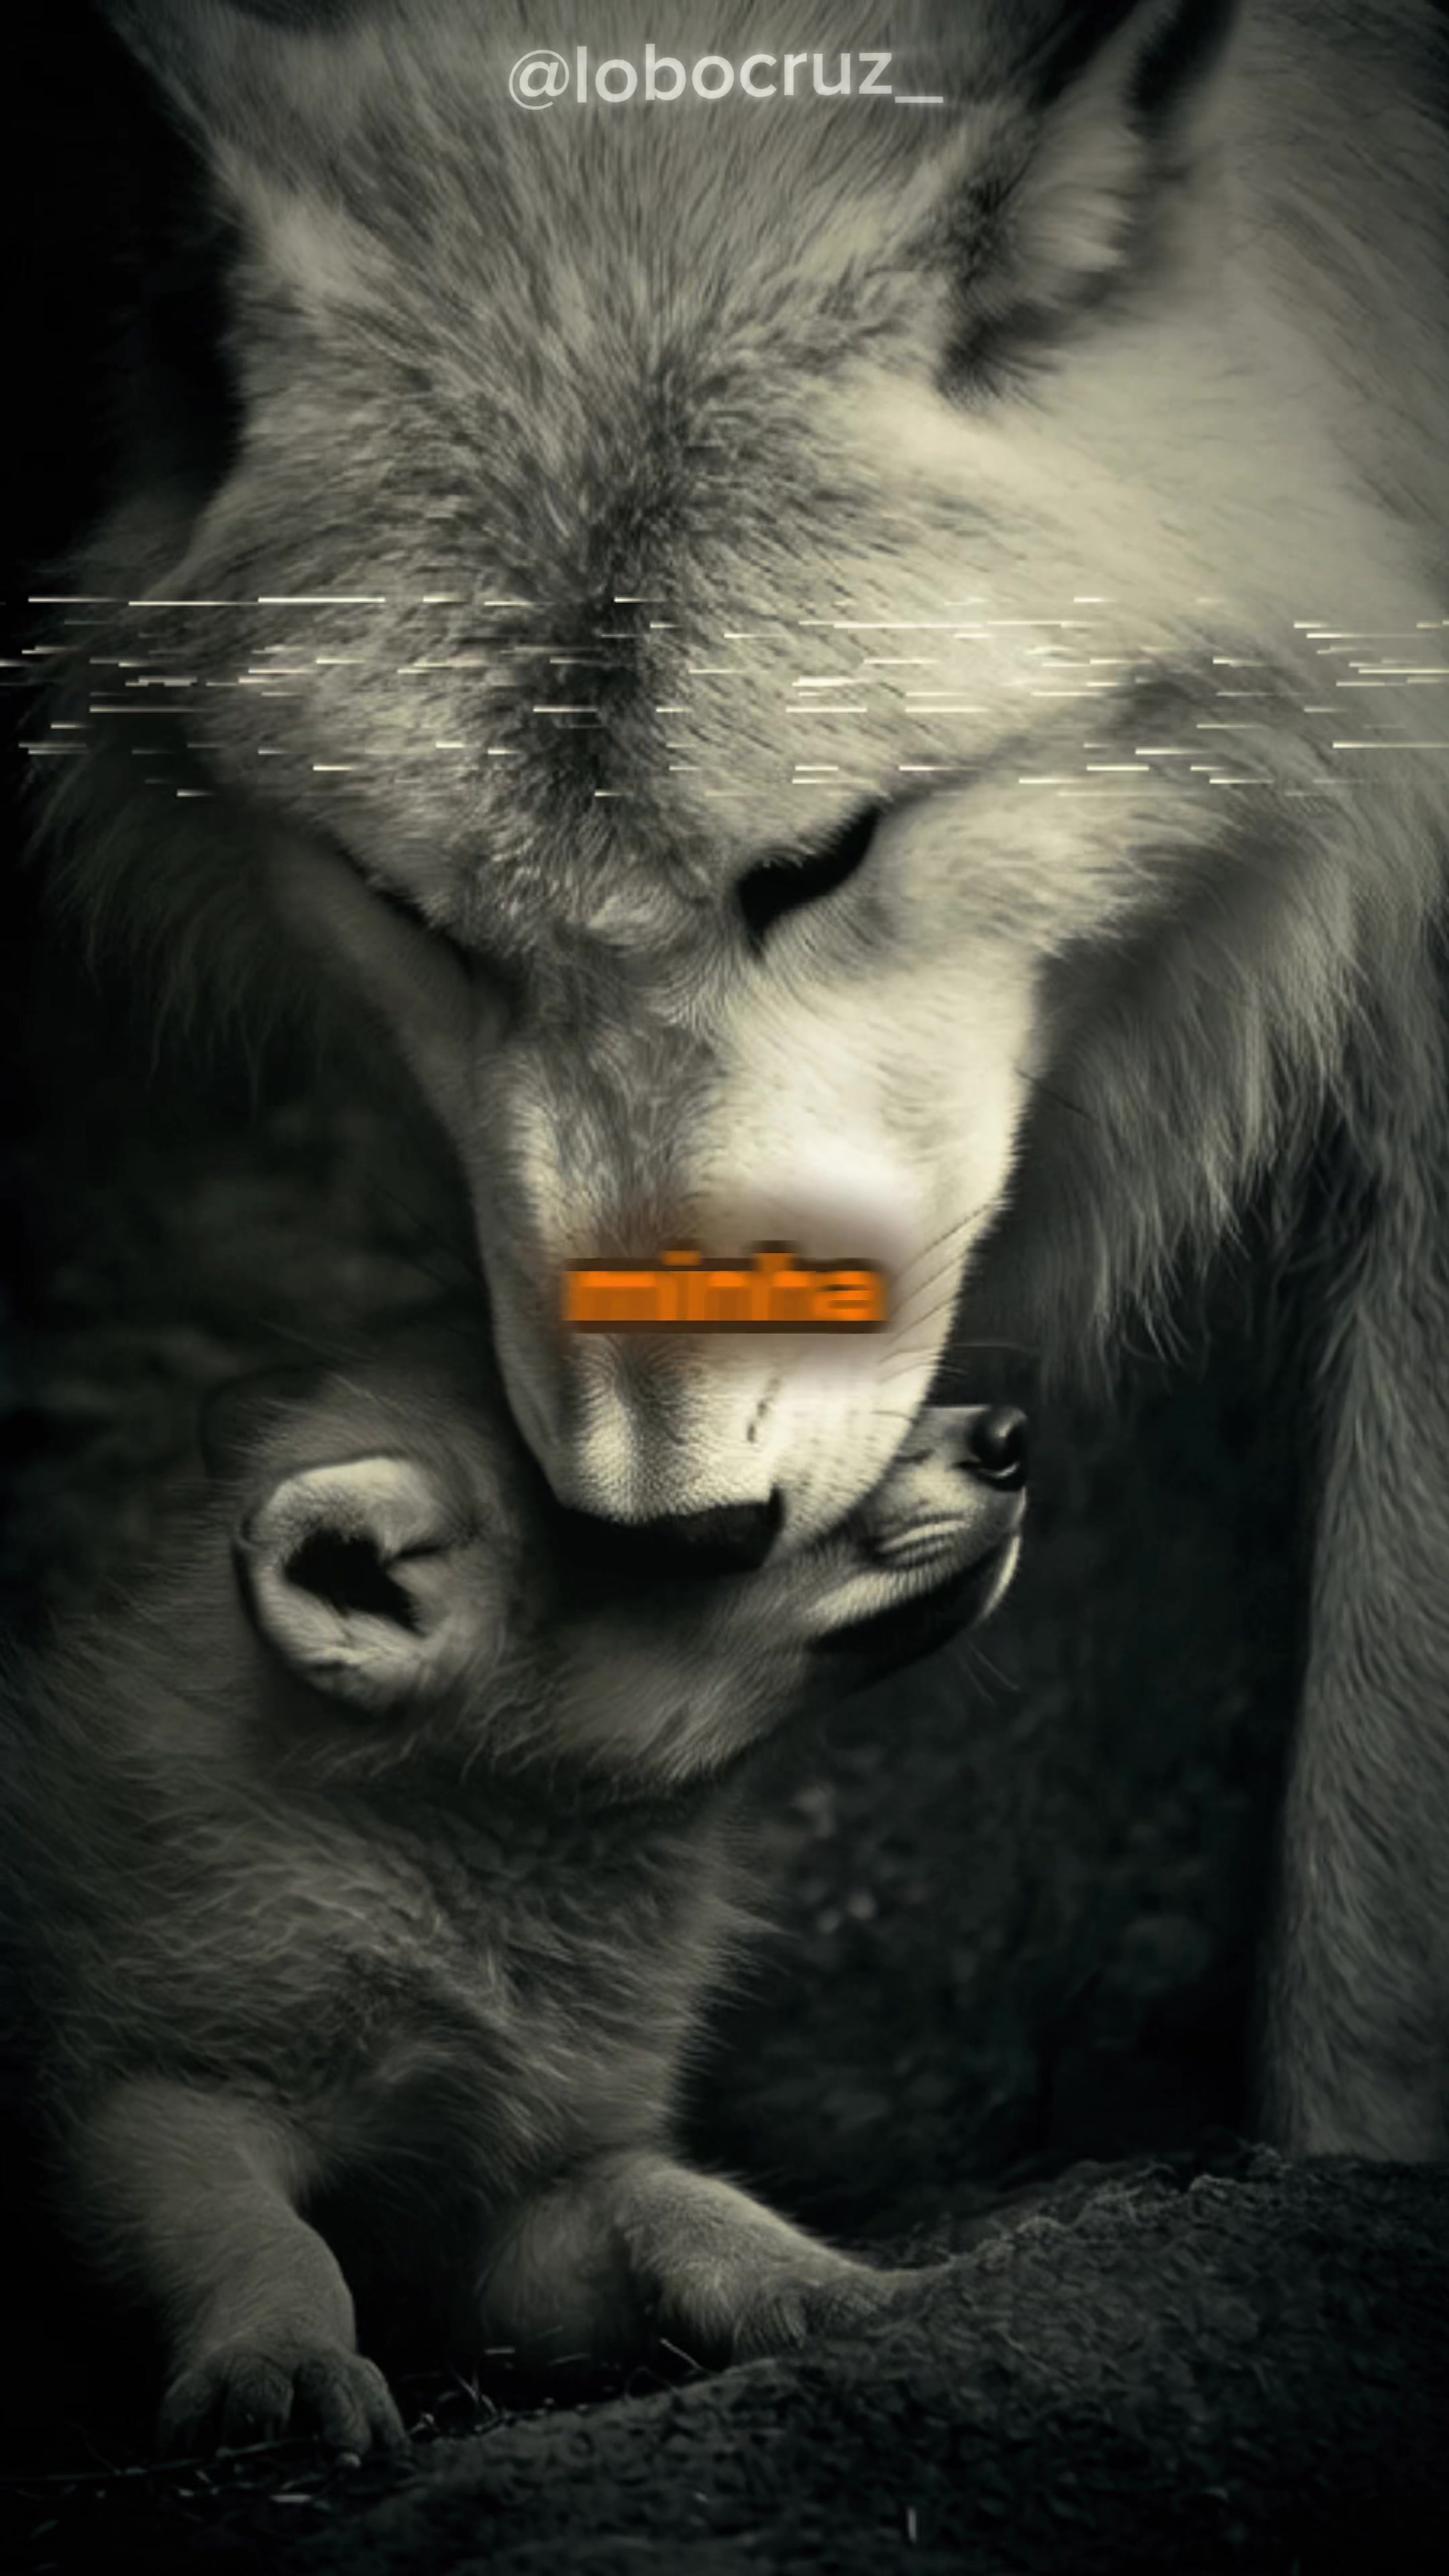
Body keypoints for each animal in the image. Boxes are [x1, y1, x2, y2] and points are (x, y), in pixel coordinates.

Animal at [2, 1320, 1025, 2452]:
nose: (1008, 1433)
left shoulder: (505, 2215)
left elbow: (696, 2204)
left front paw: (843, 2285)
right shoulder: (155, 2097)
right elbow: (268, 2244)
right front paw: (280, 2358)